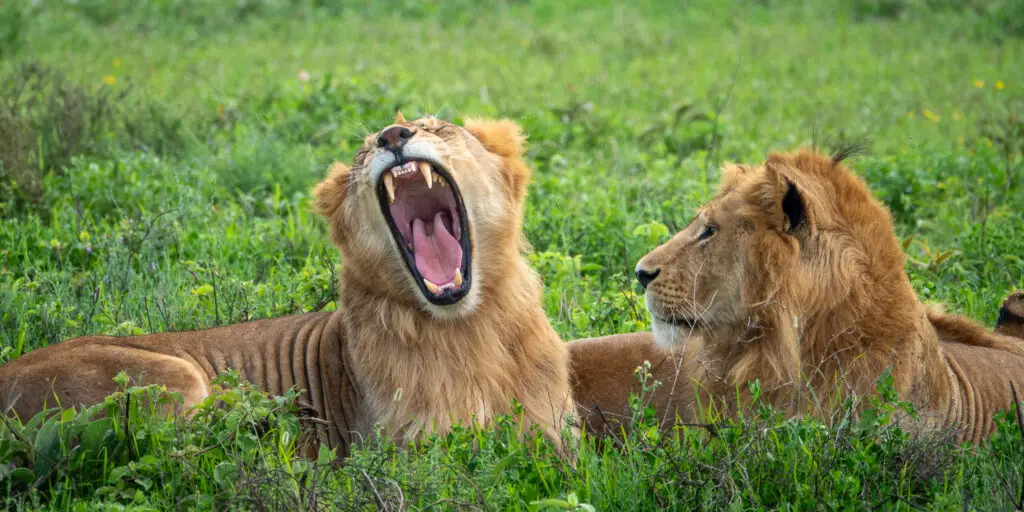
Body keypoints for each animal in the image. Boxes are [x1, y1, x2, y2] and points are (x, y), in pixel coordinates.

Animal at [0, 114, 577, 456]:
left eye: (438, 127)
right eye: (365, 150)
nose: (392, 137)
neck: (468, 326)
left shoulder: (556, 433)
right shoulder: (409, 450)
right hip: (176, 375)